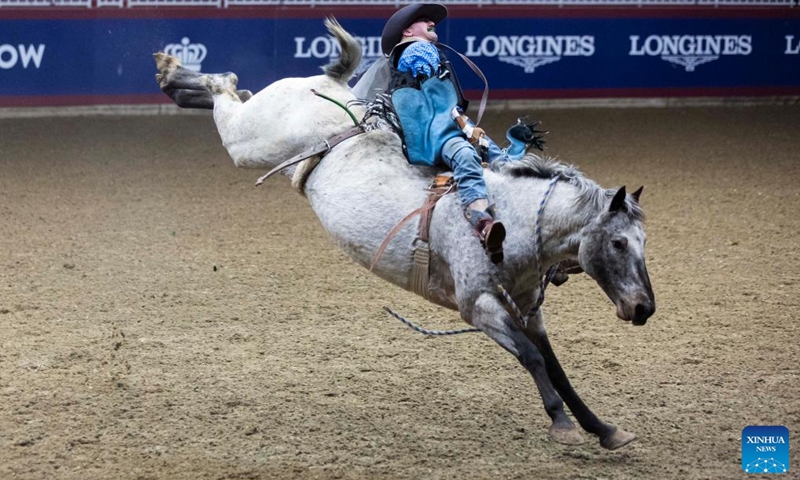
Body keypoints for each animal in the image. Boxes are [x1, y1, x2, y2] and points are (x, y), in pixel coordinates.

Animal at [153, 17, 652, 450]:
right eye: (618, 242)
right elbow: (530, 357)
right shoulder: (478, 305)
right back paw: (172, 68)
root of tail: (334, 86)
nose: (644, 308)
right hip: (249, 143)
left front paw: (603, 428)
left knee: (234, 86)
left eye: (644, 242)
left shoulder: (528, 308)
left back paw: (174, 82)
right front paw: (563, 425)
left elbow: (555, 366)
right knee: (227, 87)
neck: (510, 220)